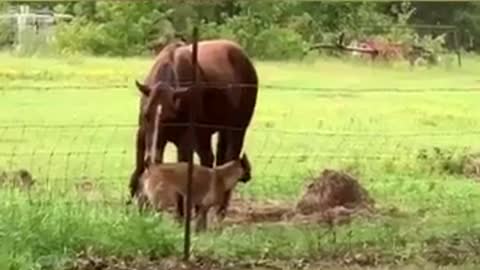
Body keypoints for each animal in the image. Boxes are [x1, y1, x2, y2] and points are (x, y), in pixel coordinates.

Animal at [127, 38, 258, 219]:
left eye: (169, 118)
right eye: (147, 115)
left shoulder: (185, 141)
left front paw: (180, 214)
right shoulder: (143, 135)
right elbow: (140, 168)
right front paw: (141, 207)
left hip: (235, 129)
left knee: (227, 157)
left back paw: (219, 211)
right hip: (213, 133)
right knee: (212, 159)